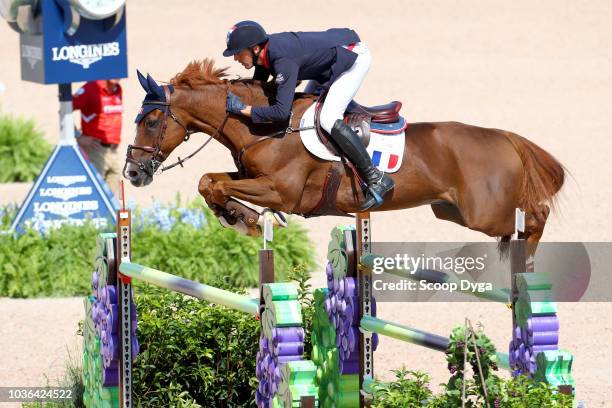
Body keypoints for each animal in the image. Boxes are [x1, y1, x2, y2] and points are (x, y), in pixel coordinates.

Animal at [124, 58, 564, 260]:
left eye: (151, 121)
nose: (132, 172)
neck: (265, 125)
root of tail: (504, 138)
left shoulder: (282, 192)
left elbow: (214, 183)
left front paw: (244, 218)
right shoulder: (248, 175)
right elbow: (209, 181)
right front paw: (239, 217)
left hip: (483, 212)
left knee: (535, 216)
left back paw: (527, 261)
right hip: (451, 210)